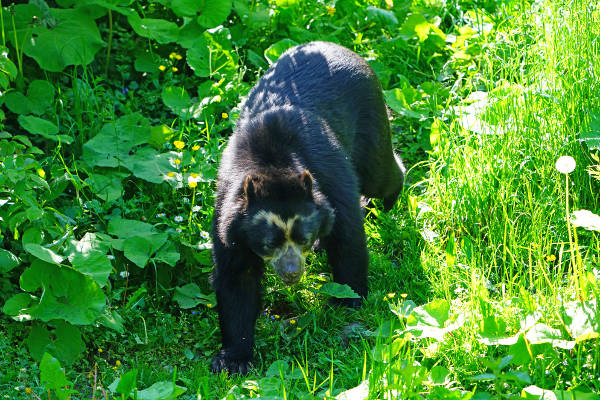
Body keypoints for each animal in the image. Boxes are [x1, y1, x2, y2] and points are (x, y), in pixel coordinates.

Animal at [210, 41, 404, 376]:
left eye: (301, 238)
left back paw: (387, 200)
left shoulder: (329, 176)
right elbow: (236, 278)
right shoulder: (227, 214)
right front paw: (233, 360)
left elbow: (348, 238)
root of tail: (340, 47)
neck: (273, 163)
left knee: (380, 174)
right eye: (268, 244)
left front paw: (347, 303)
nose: (291, 273)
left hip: (370, 119)